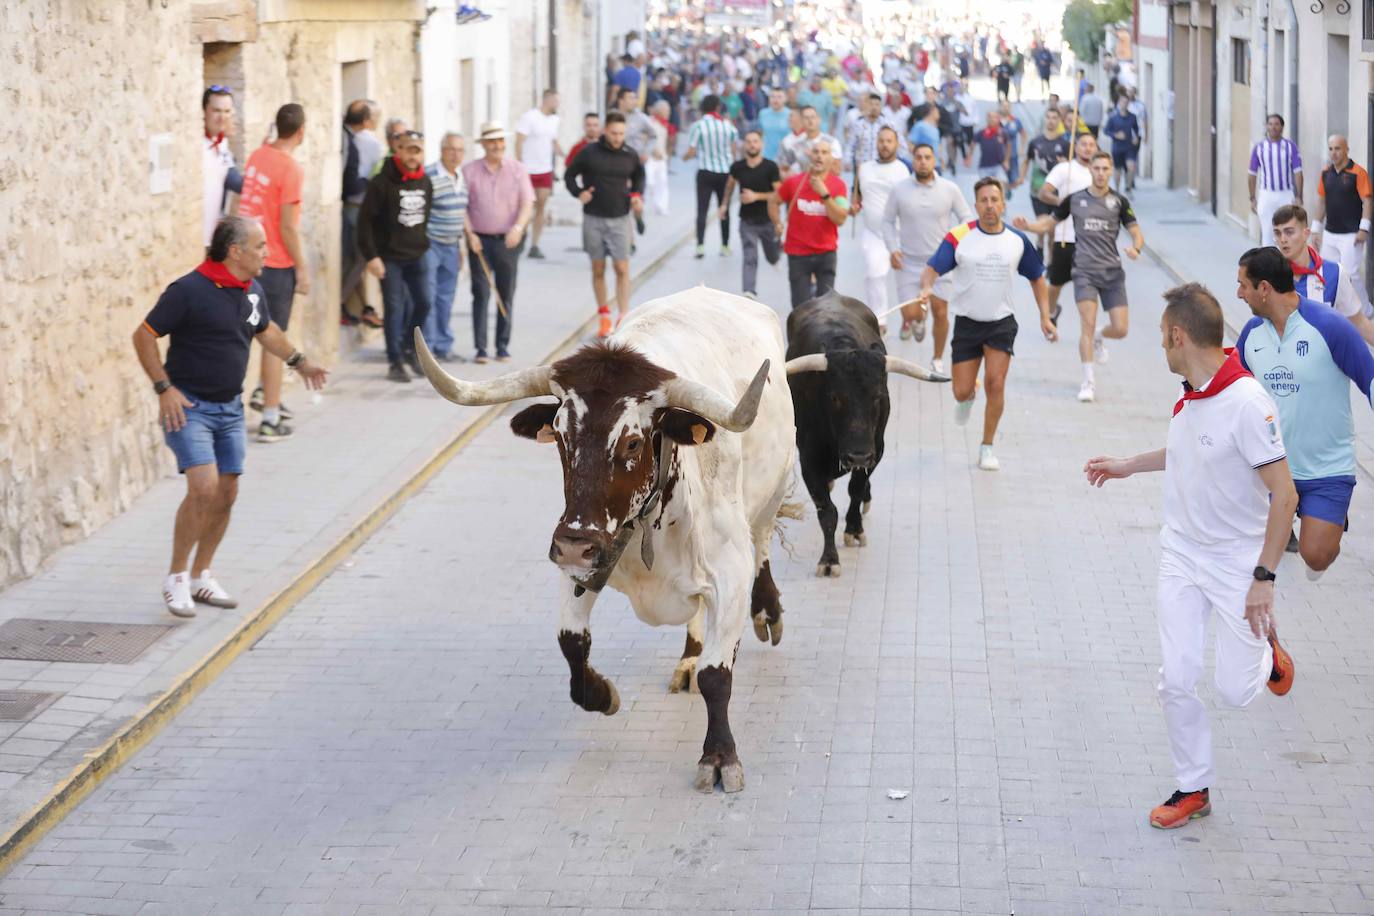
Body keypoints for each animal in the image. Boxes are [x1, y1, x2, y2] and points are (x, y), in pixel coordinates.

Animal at [412, 289, 791, 791]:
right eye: (560, 437)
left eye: (632, 443)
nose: (575, 543)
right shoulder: (581, 564)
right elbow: (571, 644)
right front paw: (602, 693)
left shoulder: (730, 570)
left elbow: (717, 675)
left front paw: (719, 756)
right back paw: (687, 658)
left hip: (773, 491)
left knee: (763, 542)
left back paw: (766, 610)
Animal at [785, 293, 945, 576]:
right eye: (835, 397)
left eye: (878, 398)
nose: (857, 455)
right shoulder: (808, 459)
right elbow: (827, 509)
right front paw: (829, 559)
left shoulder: (876, 450)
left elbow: (855, 490)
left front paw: (854, 530)